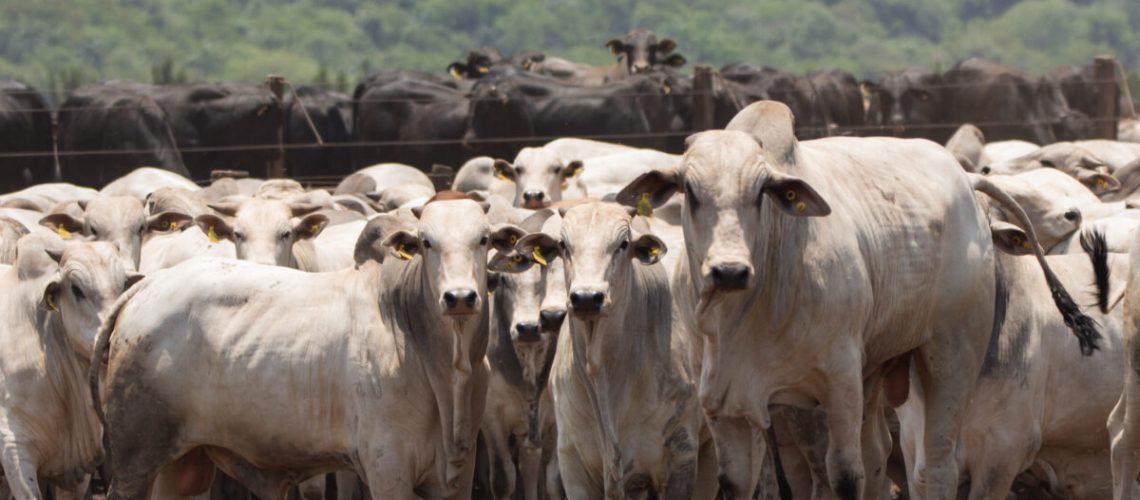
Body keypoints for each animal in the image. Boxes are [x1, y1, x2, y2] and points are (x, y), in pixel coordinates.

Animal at [91, 199, 524, 499]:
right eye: (425, 241)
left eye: (483, 239)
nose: (460, 297)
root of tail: (146, 285)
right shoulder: (389, 468)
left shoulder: (456, 473)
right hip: (135, 460)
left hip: (182, 464)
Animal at [616, 101, 1098, 499]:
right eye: (692, 192)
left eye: (759, 193)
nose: (729, 271)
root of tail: (966, 176)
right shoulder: (722, 400)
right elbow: (738, 482)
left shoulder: (838, 383)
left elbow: (844, 476)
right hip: (877, 371)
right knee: (881, 453)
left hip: (949, 355)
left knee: (937, 463)